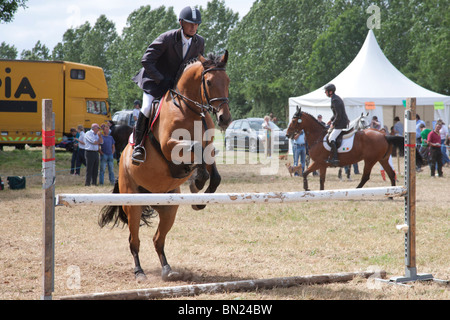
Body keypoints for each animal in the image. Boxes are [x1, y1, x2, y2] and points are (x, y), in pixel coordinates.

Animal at [99, 51, 232, 282]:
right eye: (208, 82)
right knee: (134, 241)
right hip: (133, 205)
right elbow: (195, 149)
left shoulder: (208, 147)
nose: (225, 118)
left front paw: (199, 198)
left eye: (228, 81)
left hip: (169, 208)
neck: (190, 110)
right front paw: (197, 180)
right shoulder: (170, 146)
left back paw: (167, 270)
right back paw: (139, 272)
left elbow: (214, 174)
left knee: (158, 239)